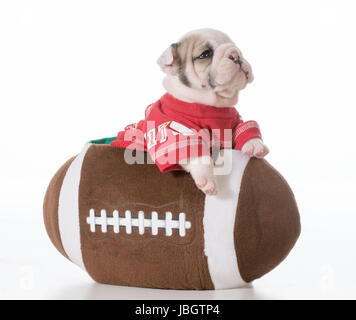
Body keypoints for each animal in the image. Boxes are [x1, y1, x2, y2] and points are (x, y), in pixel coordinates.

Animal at [157, 28, 268, 195]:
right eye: (205, 54)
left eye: (234, 45)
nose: (235, 54)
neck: (212, 105)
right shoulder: (175, 129)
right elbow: (197, 154)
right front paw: (207, 179)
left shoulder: (233, 120)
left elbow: (244, 128)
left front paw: (254, 143)